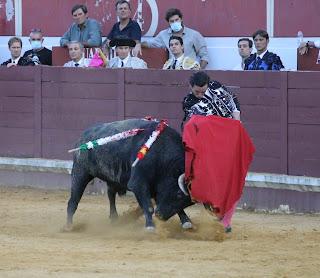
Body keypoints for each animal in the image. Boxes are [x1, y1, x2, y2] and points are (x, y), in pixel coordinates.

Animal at [66, 118, 194, 229]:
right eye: (178, 194)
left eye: (188, 203)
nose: (160, 215)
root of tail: (83, 136)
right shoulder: (138, 183)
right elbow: (148, 206)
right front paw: (150, 226)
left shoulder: (157, 185)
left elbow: (175, 208)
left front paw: (187, 222)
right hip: (80, 172)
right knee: (74, 199)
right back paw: (68, 226)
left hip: (112, 178)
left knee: (111, 194)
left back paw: (114, 219)